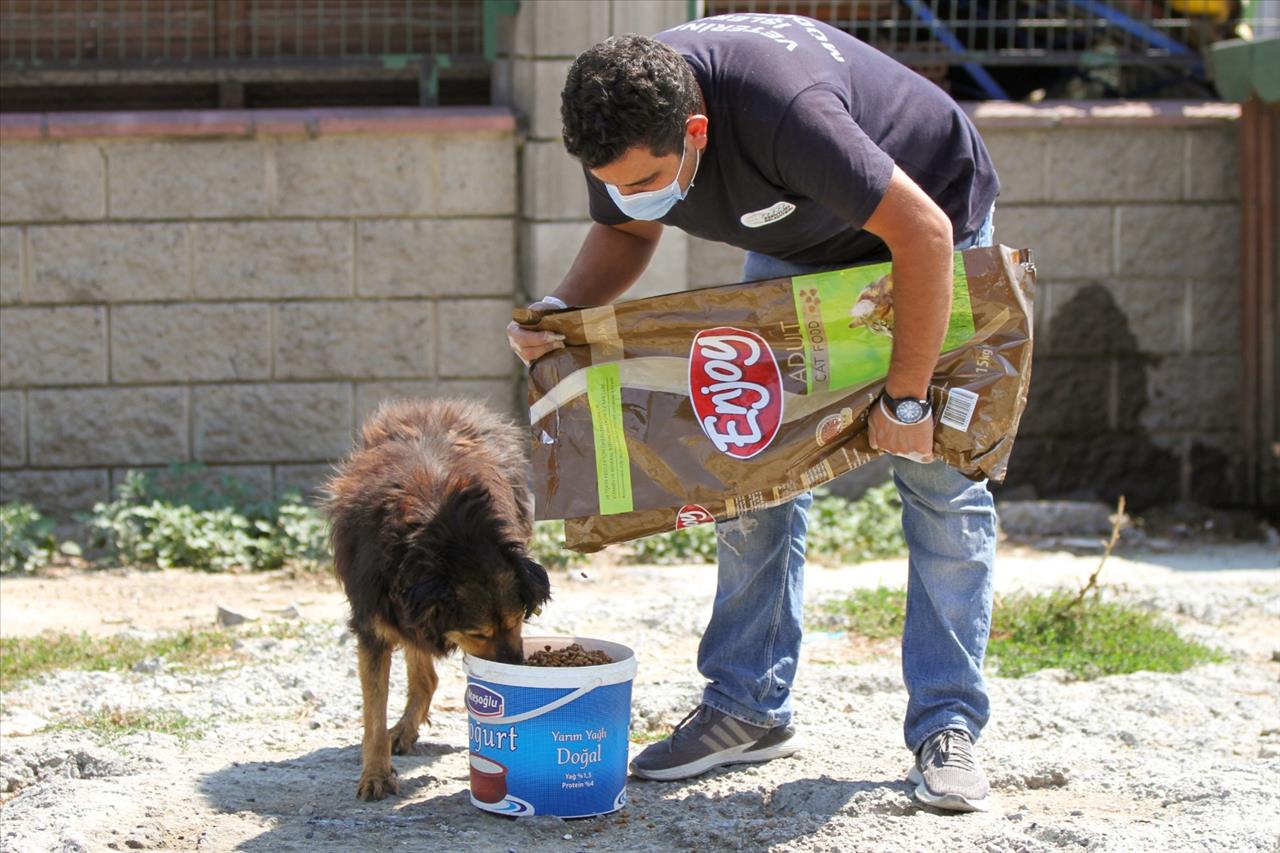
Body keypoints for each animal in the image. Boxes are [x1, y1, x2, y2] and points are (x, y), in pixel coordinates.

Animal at [322, 397, 547, 799]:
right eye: (477, 634)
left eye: (517, 620)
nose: (515, 670)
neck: (446, 540)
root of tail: (433, 406)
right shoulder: (375, 618)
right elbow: (373, 711)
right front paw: (375, 773)